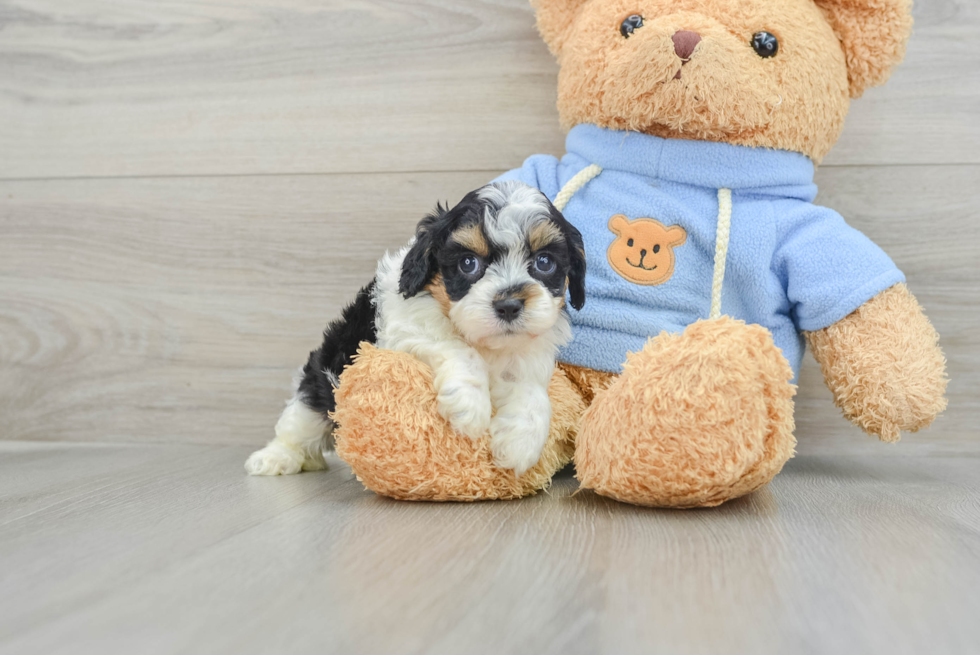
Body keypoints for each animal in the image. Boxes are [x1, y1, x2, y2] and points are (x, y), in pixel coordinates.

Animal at [245, 182, 584, 480]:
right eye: (468, 263)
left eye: (544, 262)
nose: (509, 305)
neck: (487, 343)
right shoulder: (403, 331)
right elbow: (457, 347)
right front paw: (469, 405)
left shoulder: (528, 354)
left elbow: (533, 392)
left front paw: (519, 443)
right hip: (322, 380)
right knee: (300, 422)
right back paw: (275, 458)